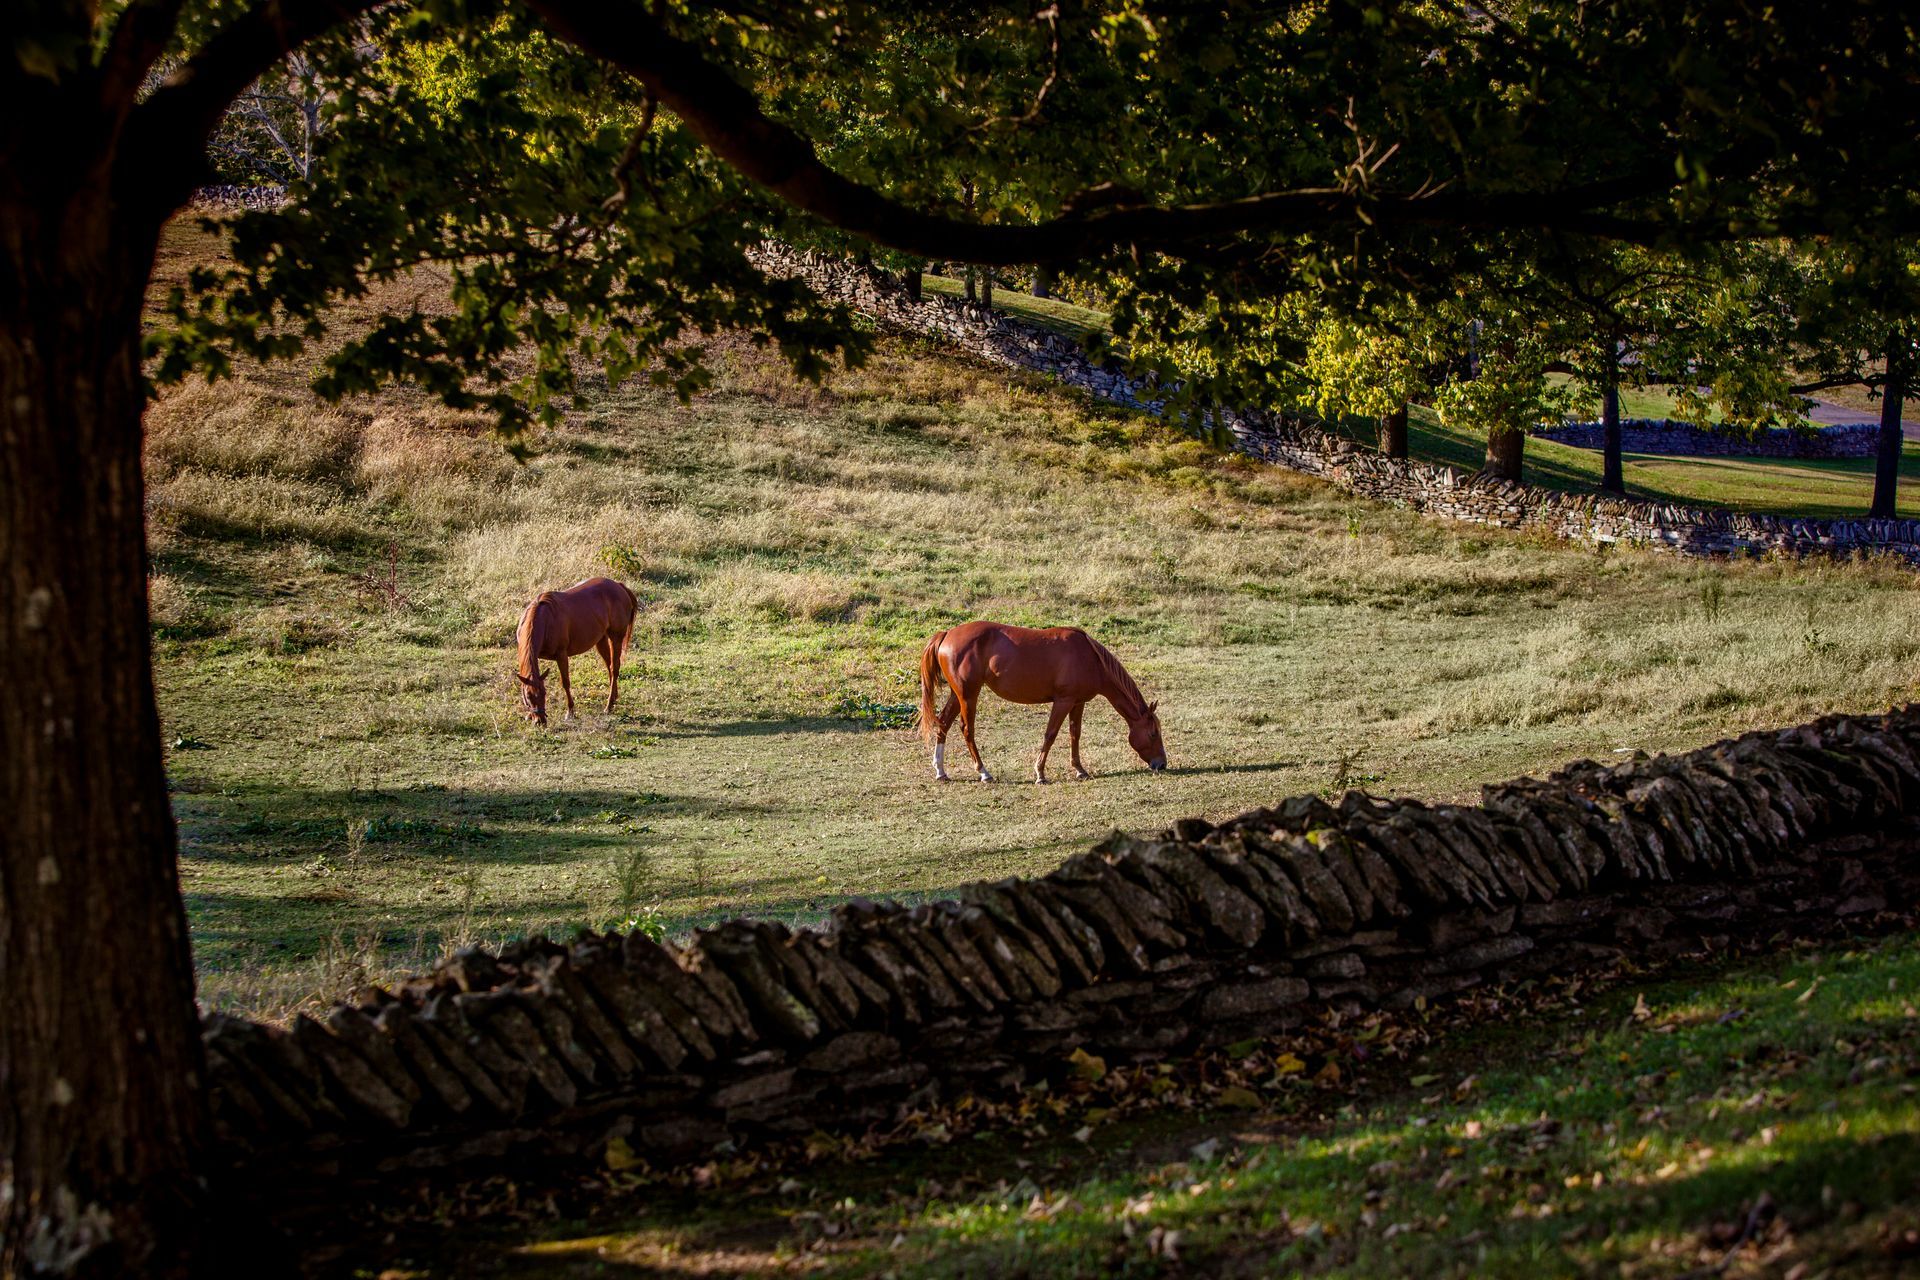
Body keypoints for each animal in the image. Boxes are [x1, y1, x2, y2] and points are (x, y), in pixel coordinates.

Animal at [514, 577, 638, 726]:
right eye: (528, 695)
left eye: (544, 693)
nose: (540, 721)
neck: (545, 620)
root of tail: (619, 586)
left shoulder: (561, 655)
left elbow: (565, 682)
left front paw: (570, 712)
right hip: (601, 640)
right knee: (609, 666)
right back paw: (613, 699)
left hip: (616, 638)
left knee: (615, 668)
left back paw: (608, 706)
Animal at [917, 621, 1166, 783]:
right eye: (1154, 733)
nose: (1161, 764)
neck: (1091, 658)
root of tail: (947, 634)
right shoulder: (1063, 701)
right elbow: (1051, 734)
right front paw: (1040, 773)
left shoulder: (1078, 702)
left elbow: (1075, 734)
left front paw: (1080, 770)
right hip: (969, 695)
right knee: (967, 729)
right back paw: (984, 772)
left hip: (957, 695)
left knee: (943, 723)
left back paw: (941, 771)